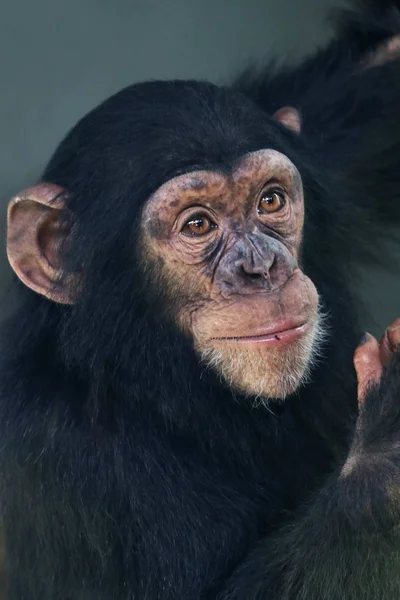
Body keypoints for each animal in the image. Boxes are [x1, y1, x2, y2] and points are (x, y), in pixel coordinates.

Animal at [2, 1, 400, 600]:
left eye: (270, 201)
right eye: (197, 225)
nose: (261, 268)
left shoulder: (329, 152)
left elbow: (381, 64)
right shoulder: (54, 465)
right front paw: (387, 444)